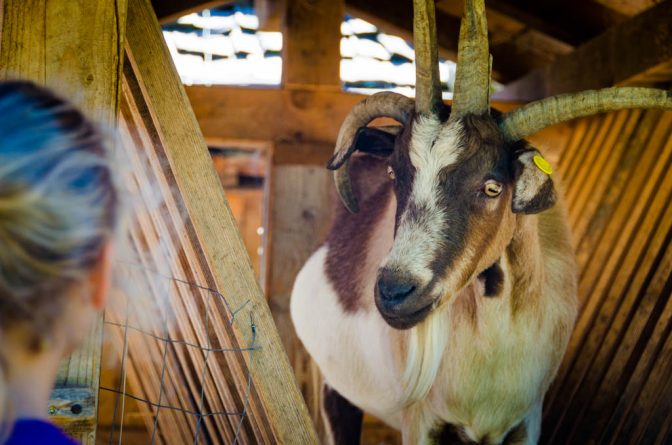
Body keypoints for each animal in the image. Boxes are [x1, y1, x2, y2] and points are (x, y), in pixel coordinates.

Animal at [292, 0, 672, 440]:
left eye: (492, 187)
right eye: (393, 173)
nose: (394, 292)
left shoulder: (527, 419)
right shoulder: (420, 419)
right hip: (331, 385)